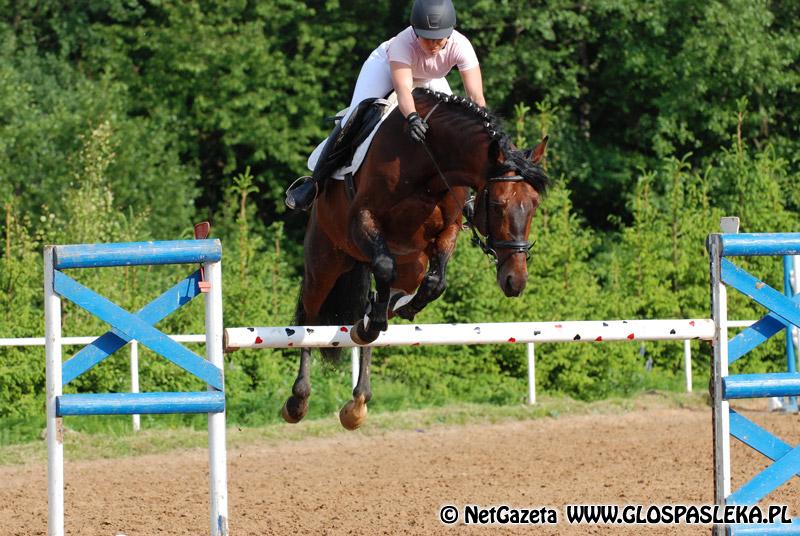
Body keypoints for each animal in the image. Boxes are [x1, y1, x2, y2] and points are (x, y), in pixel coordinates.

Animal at [284, 88, 549, 430]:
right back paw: (299, 399)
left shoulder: (447, 231)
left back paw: (358, 399)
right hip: (326, 261)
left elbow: (436, 282)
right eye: (499, 205)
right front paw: (372, 323)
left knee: (383, 297)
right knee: (310, 314)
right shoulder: (363, 220)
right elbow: (384, 268)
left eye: (534, 204)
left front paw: (393, 313)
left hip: (410, 263)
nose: (515, 281)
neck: (429, 162)